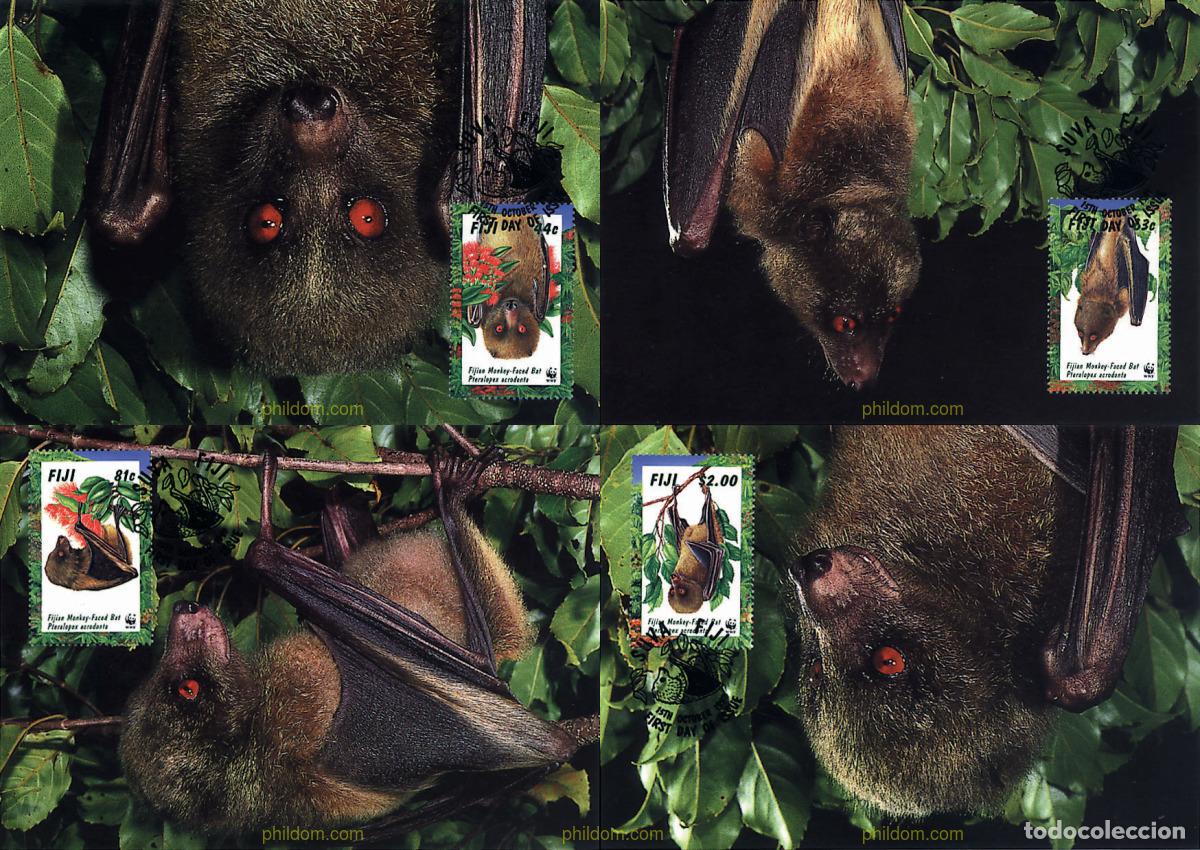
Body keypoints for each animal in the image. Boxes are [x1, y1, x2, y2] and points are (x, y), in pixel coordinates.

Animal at [119, 451, 587, 837]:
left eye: (174, 684)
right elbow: (260, 554)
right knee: (486, 667)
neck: (254, 726)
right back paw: (453, 496)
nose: (184, 610)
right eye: (189, 689)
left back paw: (342, 504)